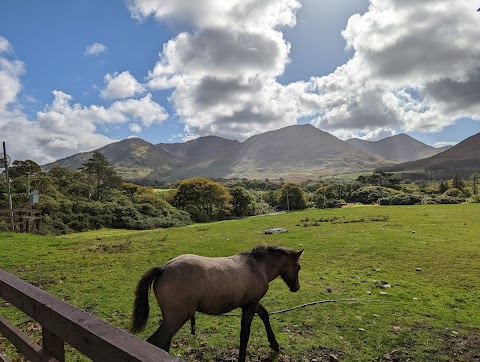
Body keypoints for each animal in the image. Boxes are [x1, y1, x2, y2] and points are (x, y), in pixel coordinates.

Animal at [130, 245, 304, 360]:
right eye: (298, 267)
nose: (297, 287)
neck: (258, 266)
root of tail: (164, 269)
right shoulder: (250, 306)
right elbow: (245, 334)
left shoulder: (250, 303)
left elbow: (265, 315)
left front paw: (274, 344)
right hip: (176, 318)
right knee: (157, 341)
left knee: (164, 341)